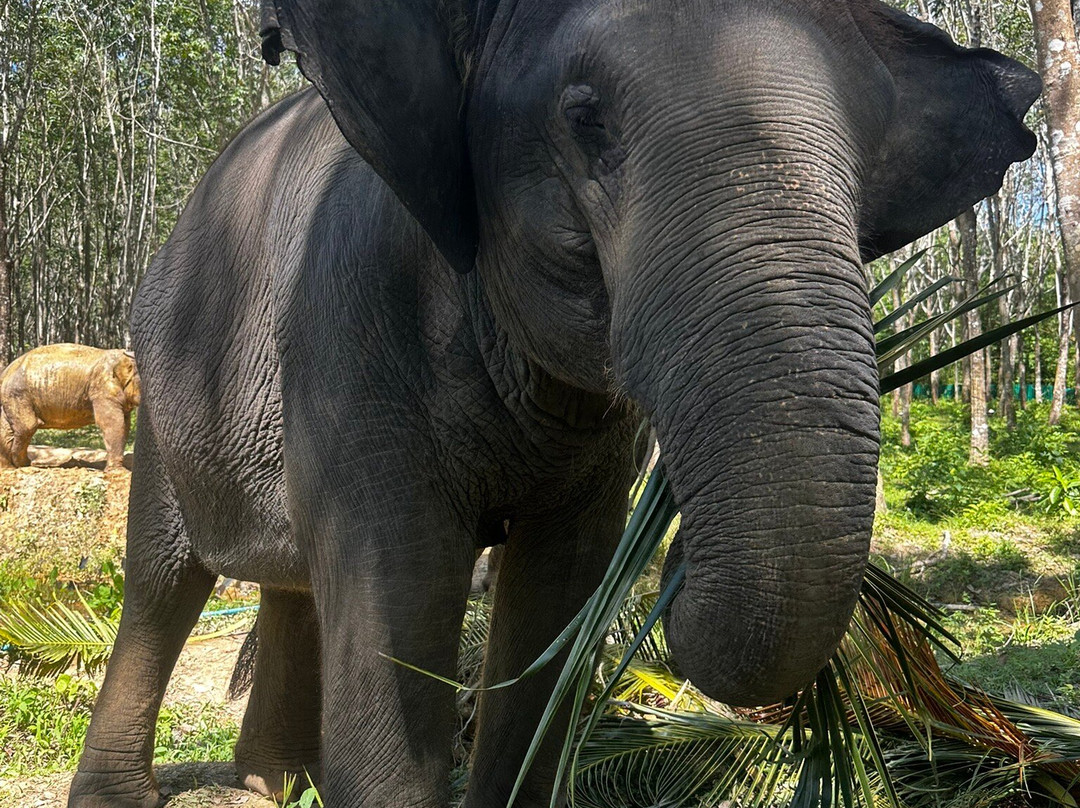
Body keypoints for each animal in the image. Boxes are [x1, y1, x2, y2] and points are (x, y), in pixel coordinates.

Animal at [0, 344, 140, 472]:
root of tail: (6, 371)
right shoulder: (102, 388)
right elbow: (113, 423)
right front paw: (120, 472)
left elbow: (125, 424)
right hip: (17, 395)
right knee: (28, 426)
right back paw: (24, 464)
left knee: (7, 428)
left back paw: (8, 467)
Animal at [68, 0, 1040, 806]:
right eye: (587, 123)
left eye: (869, 161)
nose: (677, 565)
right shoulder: (348, 313)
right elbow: (397, 583)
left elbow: (560, 589)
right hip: (163, 381)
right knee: (162, 579)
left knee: (287, 578)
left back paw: (273, 783)